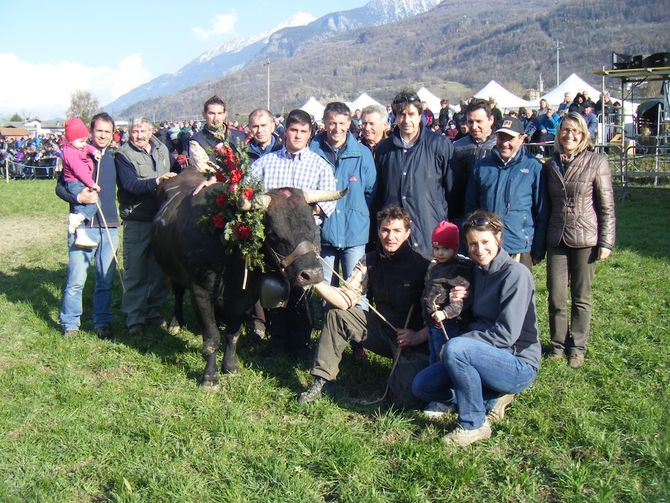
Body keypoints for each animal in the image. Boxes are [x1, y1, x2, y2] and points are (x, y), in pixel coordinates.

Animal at [150, 170, 344, 390]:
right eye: (273, 233)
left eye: (312, 226)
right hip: (172, 268)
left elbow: (232, 334)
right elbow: (211, 338)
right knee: (178, 292)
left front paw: (230, 366)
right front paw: (209, 378)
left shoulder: (244, 297)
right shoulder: (201, 293)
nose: (312, 274)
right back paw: (175, 323)